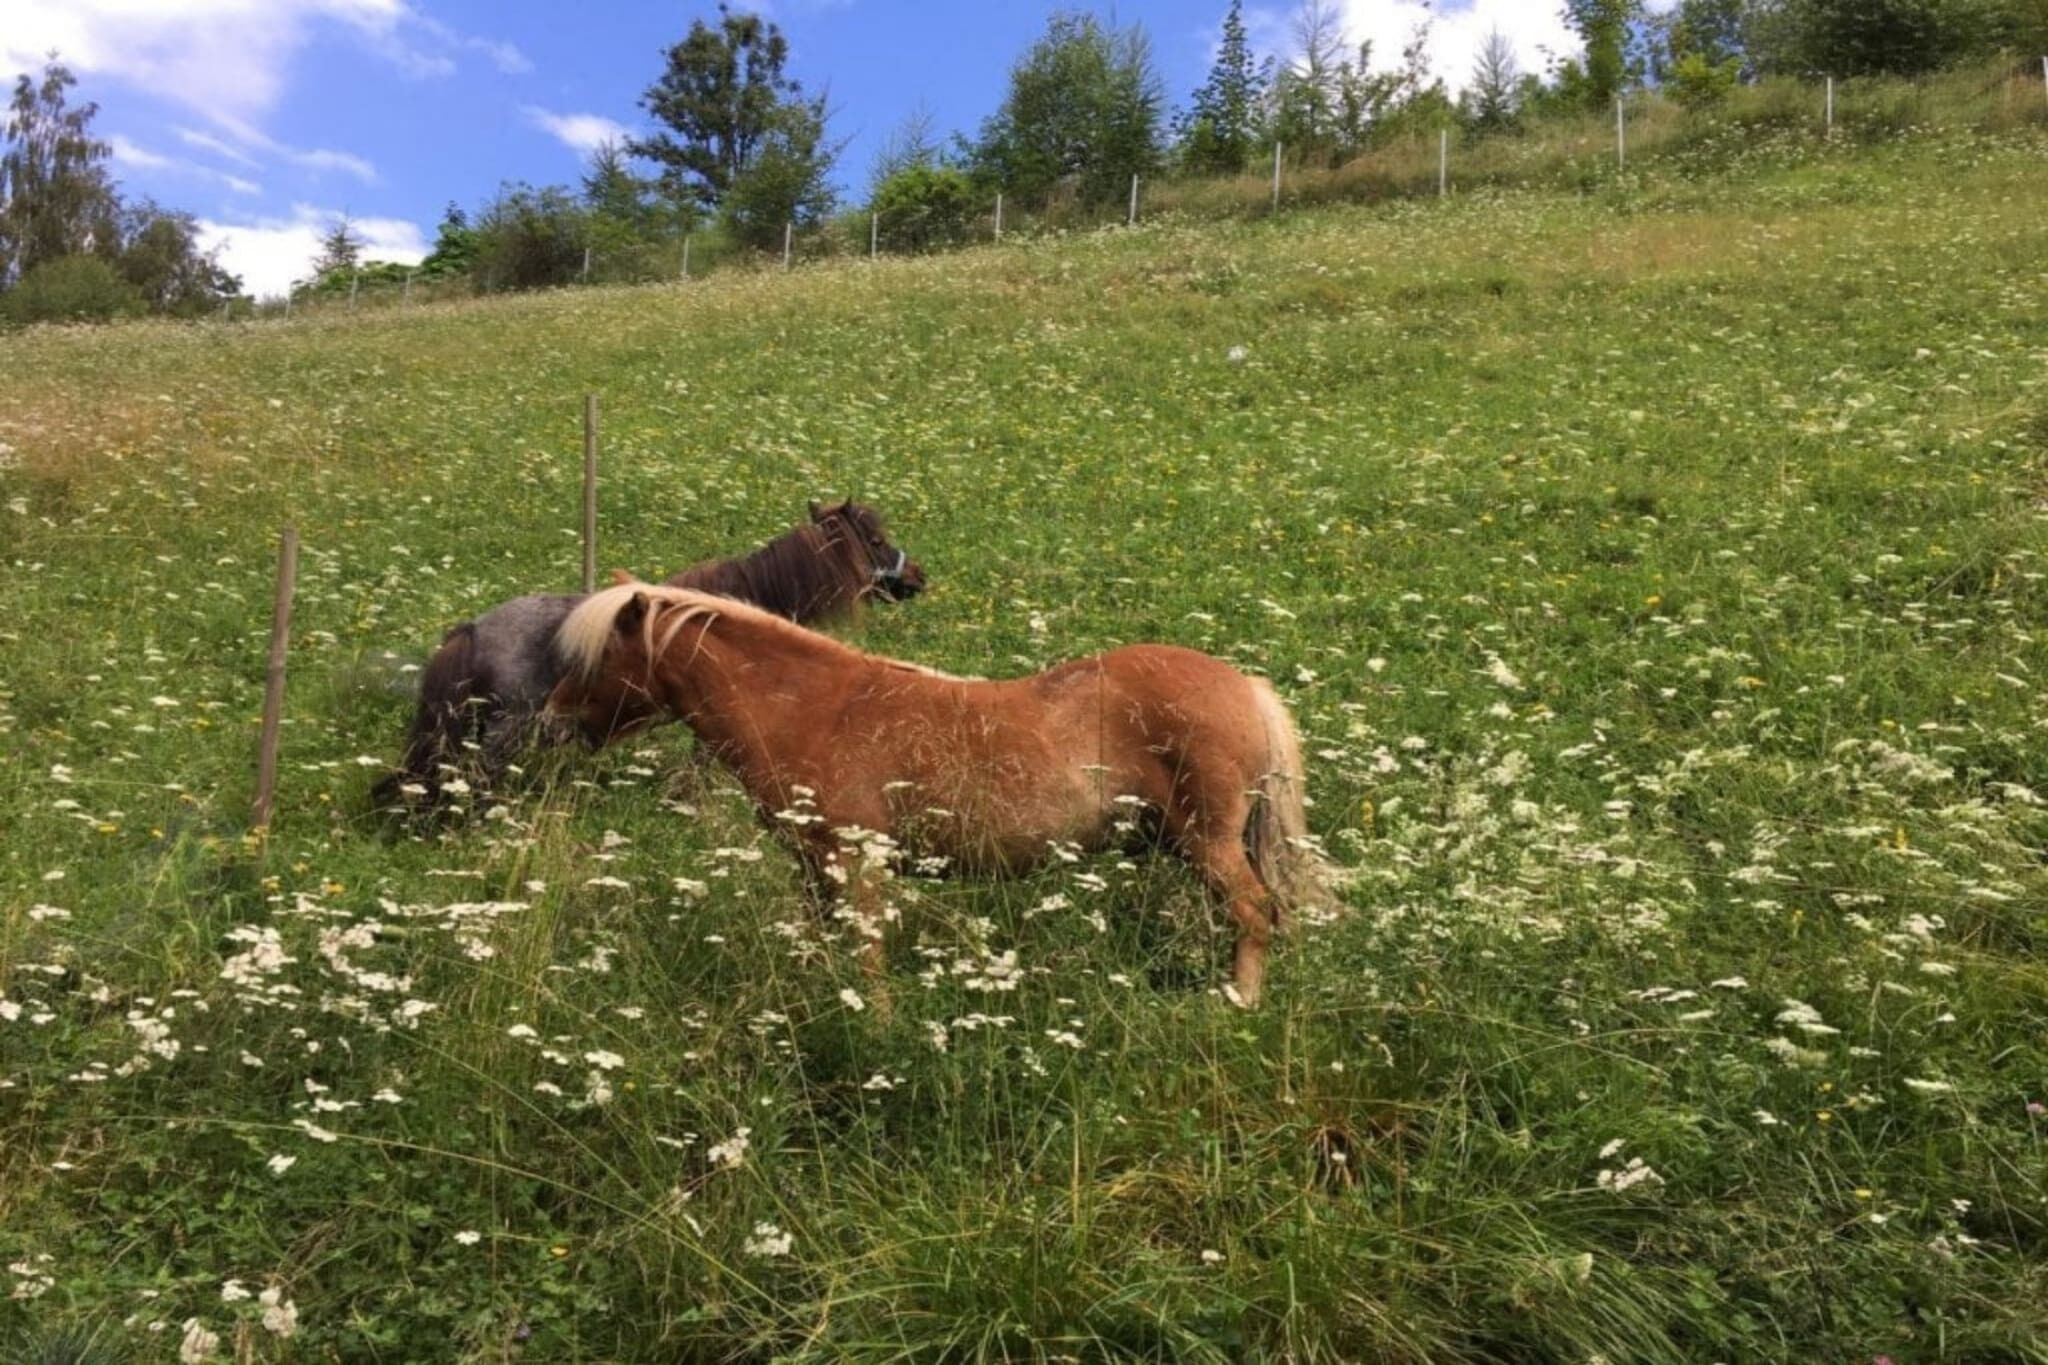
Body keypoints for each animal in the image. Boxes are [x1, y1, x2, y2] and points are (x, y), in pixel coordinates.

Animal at [544, 581, 1335, 1007]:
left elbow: (865, 957)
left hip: (1209, 841)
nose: (553, 719)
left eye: (597, 655)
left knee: (1253, 912)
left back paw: (1236, 1004)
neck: (814, 707)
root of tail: (1244, 685)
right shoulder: (814, 870)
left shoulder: (855, 865)